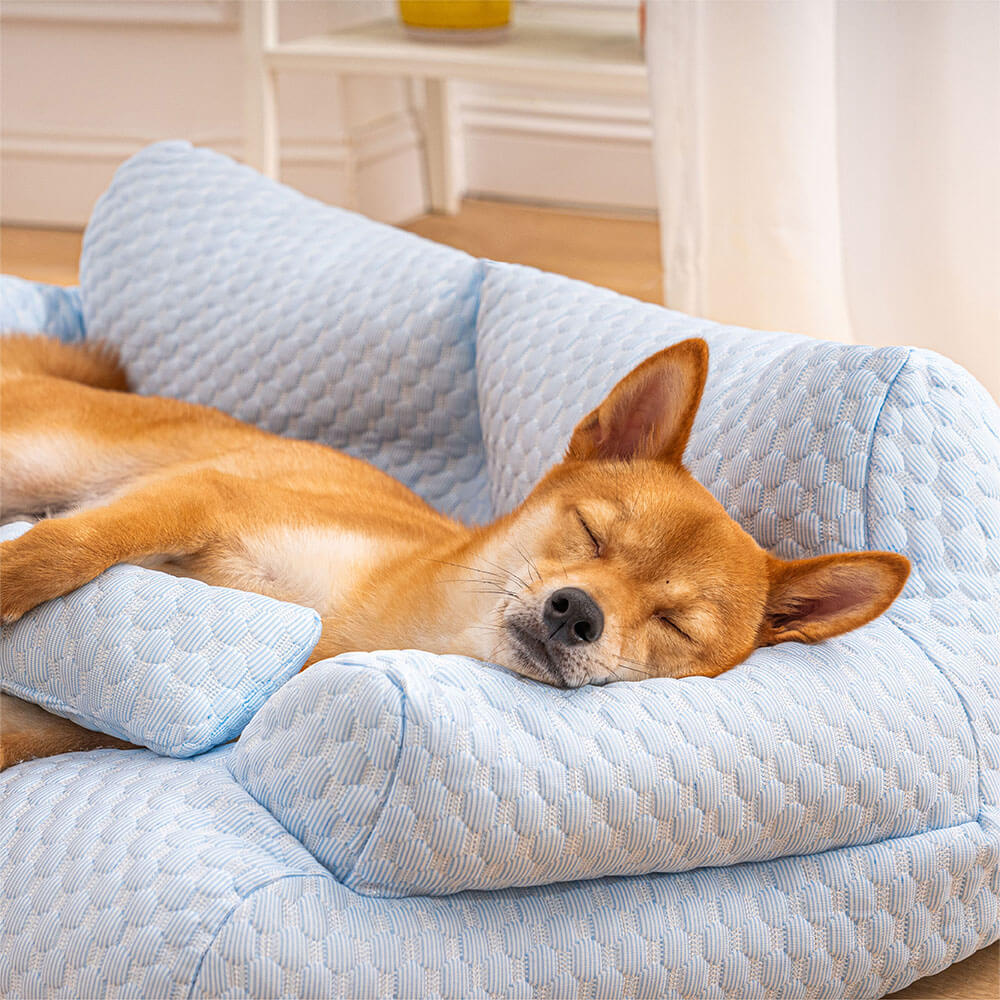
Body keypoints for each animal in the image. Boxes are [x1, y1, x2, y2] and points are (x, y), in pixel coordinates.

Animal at [0, 336, 908, 764]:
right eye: (592, 533)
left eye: (674, 623)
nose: (576, 611)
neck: (377, 620)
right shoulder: (207, 499)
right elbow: (69, 547)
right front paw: (12, 575)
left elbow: (25, 737)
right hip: (37, 455)